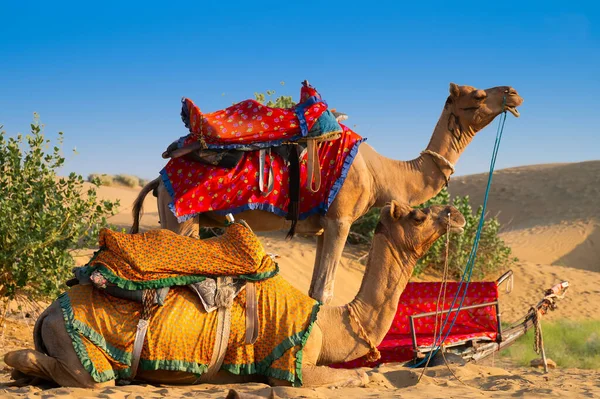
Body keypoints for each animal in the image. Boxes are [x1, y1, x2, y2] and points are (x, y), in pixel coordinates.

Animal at [4, 202, 466, 390]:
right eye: (418, 215)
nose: (456, 214)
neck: (330, 322)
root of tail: (47, 313)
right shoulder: (291, 367)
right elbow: (357, 376)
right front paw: (365, 376)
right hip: (82, 351)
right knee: (77, 375)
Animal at [132, 83, 520, 306]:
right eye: (478, 95)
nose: (514, 92)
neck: (380, 172)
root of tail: (159, 179)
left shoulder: (321, 227)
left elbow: (314, 289)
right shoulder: (341, 218)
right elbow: (325, 290)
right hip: (181, 218)